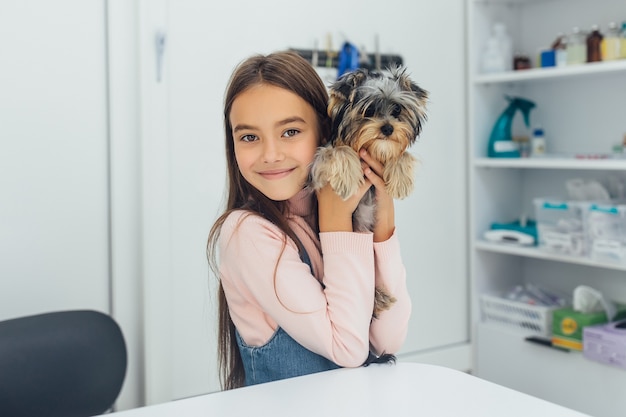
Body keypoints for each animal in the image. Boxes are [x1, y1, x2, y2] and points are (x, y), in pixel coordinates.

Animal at [308, 66, 426, 316]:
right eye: (369, 110)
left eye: (397, 109)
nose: (388, 128)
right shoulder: (316, 171)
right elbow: (337, 151)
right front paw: (347, 178)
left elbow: (402, 153)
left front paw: (401, 178)